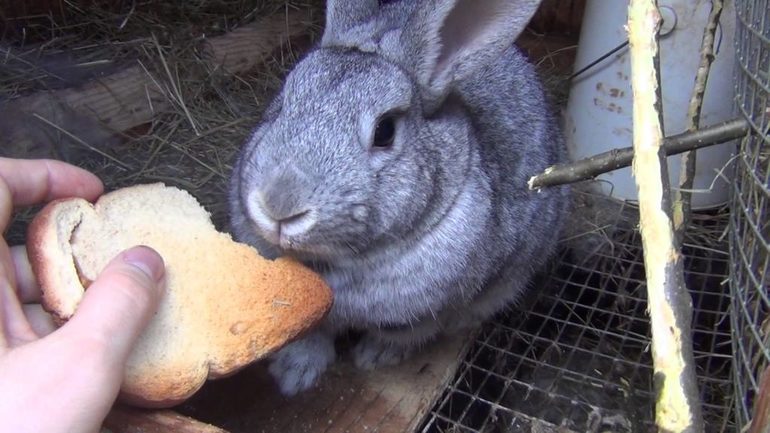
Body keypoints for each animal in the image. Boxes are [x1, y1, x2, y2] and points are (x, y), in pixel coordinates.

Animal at [228, 0, 571, 397]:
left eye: (385, 131)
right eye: (282, 102)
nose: (278, 206)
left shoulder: (424, 313)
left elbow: (402, 334)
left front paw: (373, 357)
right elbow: (310, 336)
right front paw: (293, 376)